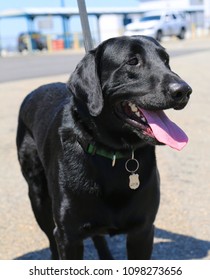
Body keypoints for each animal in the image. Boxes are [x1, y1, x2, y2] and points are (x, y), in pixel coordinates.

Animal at [16, 35, 192, 260]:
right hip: (37, 196)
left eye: (166, 60)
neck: (114, 155)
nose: (184, 90)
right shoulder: (67, 236)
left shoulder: (143, 231)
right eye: (132, 61)